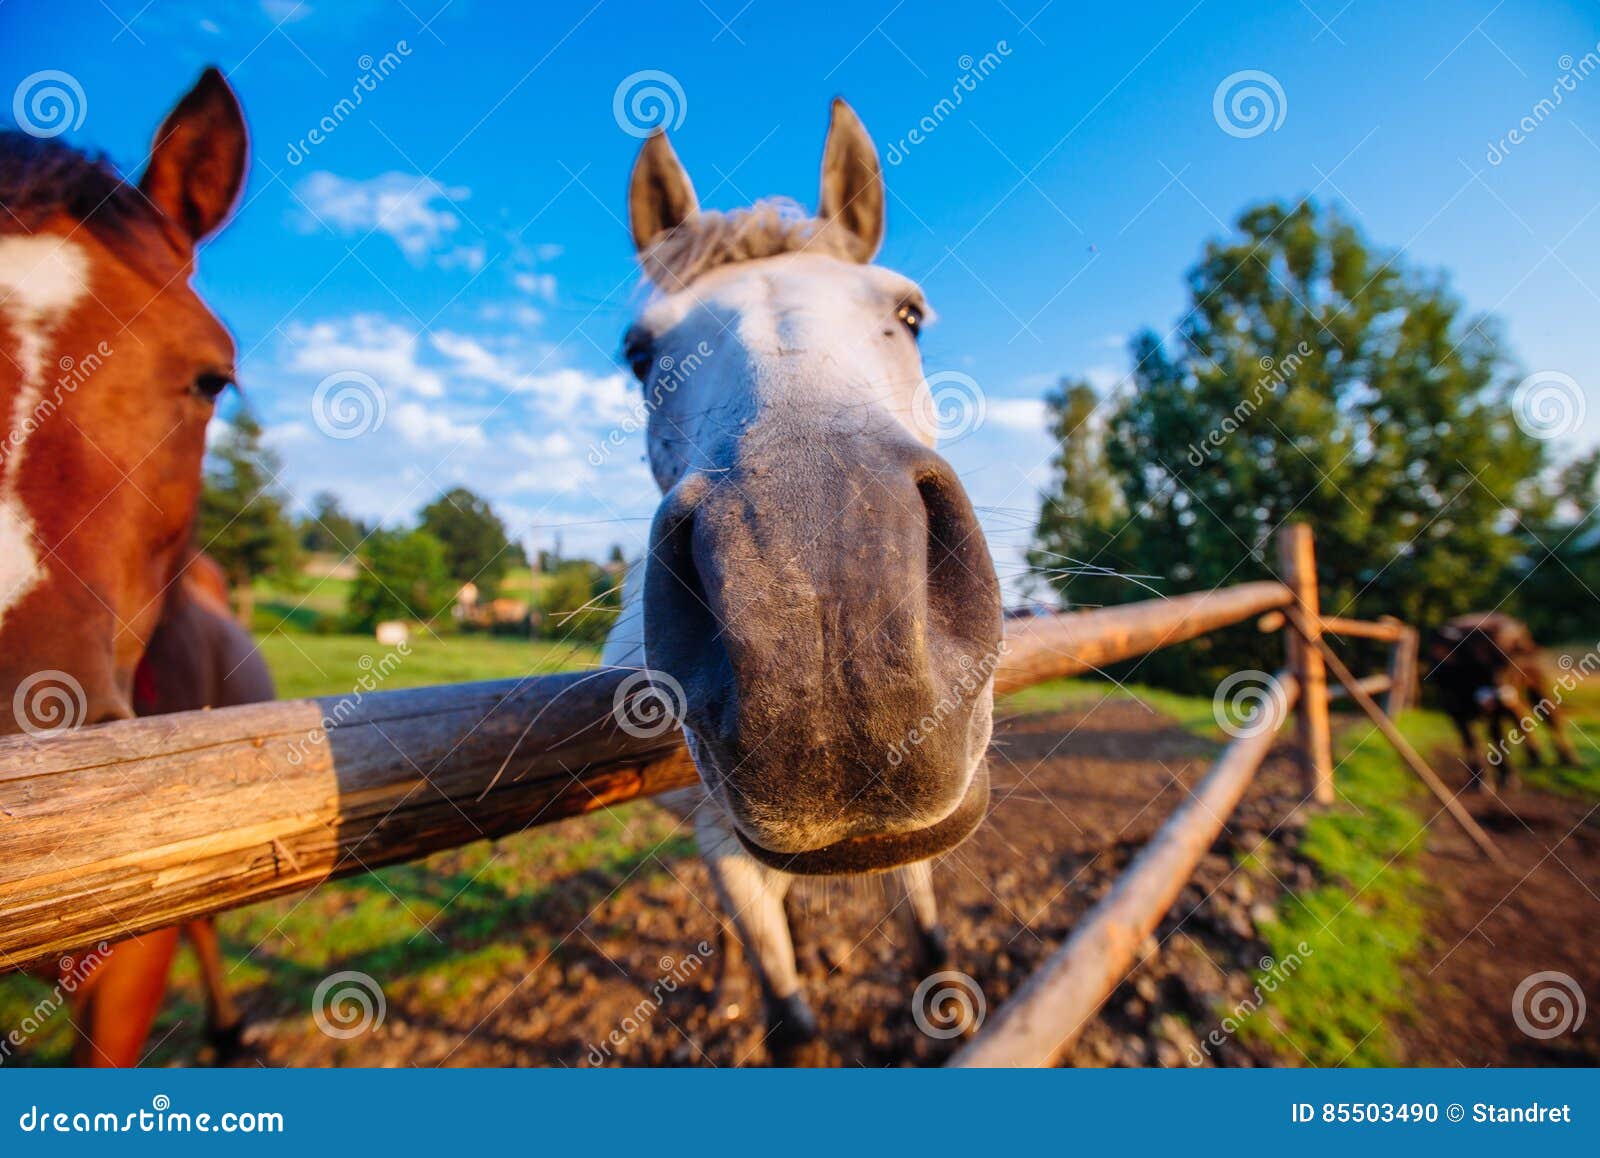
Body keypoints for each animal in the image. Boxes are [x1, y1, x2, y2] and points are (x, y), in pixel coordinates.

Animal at [602, 100, 1002, 1063]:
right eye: (641, 354)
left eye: (910, 312)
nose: (828, 633)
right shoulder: (722, 845)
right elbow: (788, 1013)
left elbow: (927, 933)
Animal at [1426, 611, 1579, 792]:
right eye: (1477, 663)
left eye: (1509, 661)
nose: (1498, 695)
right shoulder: (1455, 709)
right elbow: (1471, 741)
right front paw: (1480, 780)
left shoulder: (1496, 710)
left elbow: (1498, 738)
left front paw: (1508, 777)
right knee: (1520, 718)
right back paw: (1535, 758)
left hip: (1533, 683)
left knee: (1550, 717)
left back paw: (1569, 759)